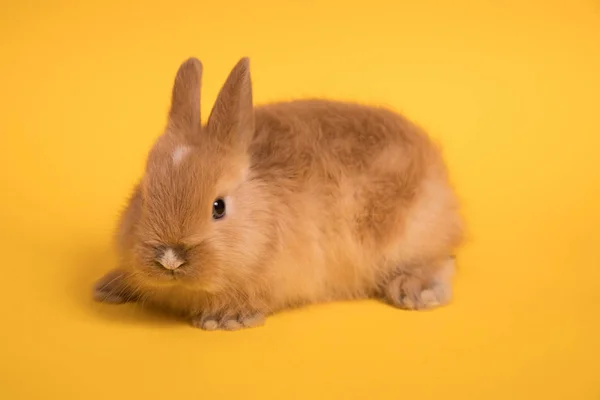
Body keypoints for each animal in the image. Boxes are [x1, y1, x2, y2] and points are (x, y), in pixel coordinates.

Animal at [92, 57, 464, 332]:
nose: (170, 259)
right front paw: (109, 287)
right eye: (144, 195)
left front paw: (225, 319)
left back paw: (414, 291)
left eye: (218, 207)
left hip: (412, 235)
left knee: (440, 261)